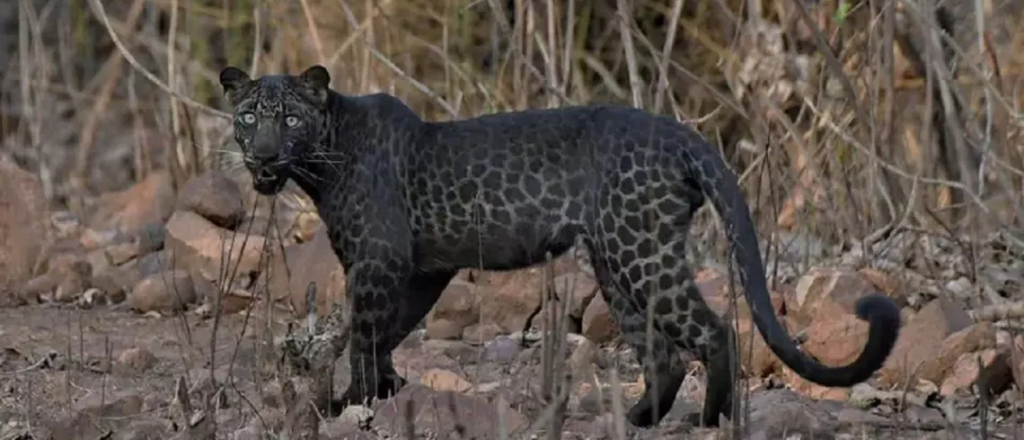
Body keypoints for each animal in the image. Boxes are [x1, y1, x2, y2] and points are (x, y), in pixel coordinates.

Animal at [218, 64, 902, 428]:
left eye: (290, 118)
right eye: (249, 116)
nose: (264, 155)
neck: (322, 161)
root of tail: (681, 134)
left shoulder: (379, 261)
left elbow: (363, 332)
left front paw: (352, 401)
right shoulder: (422, 269)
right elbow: (387, 331)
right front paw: (384, 392)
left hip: (639, 252)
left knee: (713, 332)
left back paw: (711, 421)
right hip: (616, 261)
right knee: (663, 353)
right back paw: (635, 421)